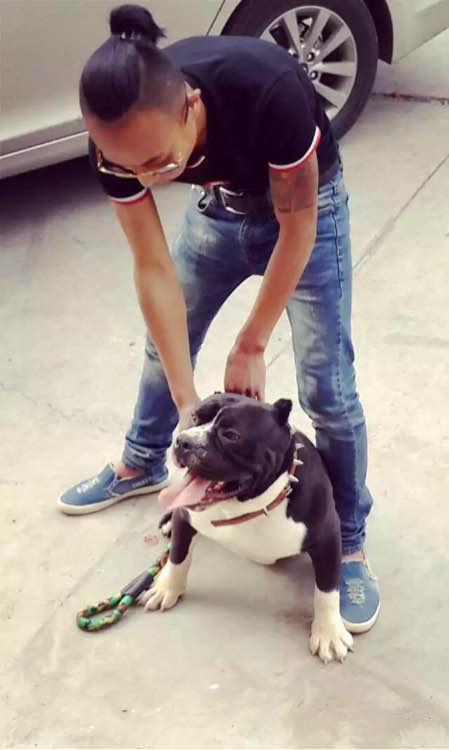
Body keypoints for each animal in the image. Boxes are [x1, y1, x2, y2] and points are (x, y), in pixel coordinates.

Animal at [139, 392, 353, 663]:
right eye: (195, 417)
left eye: (231, 435)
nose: (184, 441)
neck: (244, 507)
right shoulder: (184, 516)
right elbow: (178, 555)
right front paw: (166, 587)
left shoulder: (327, 537)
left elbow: (327, 589)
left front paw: (329, 633)